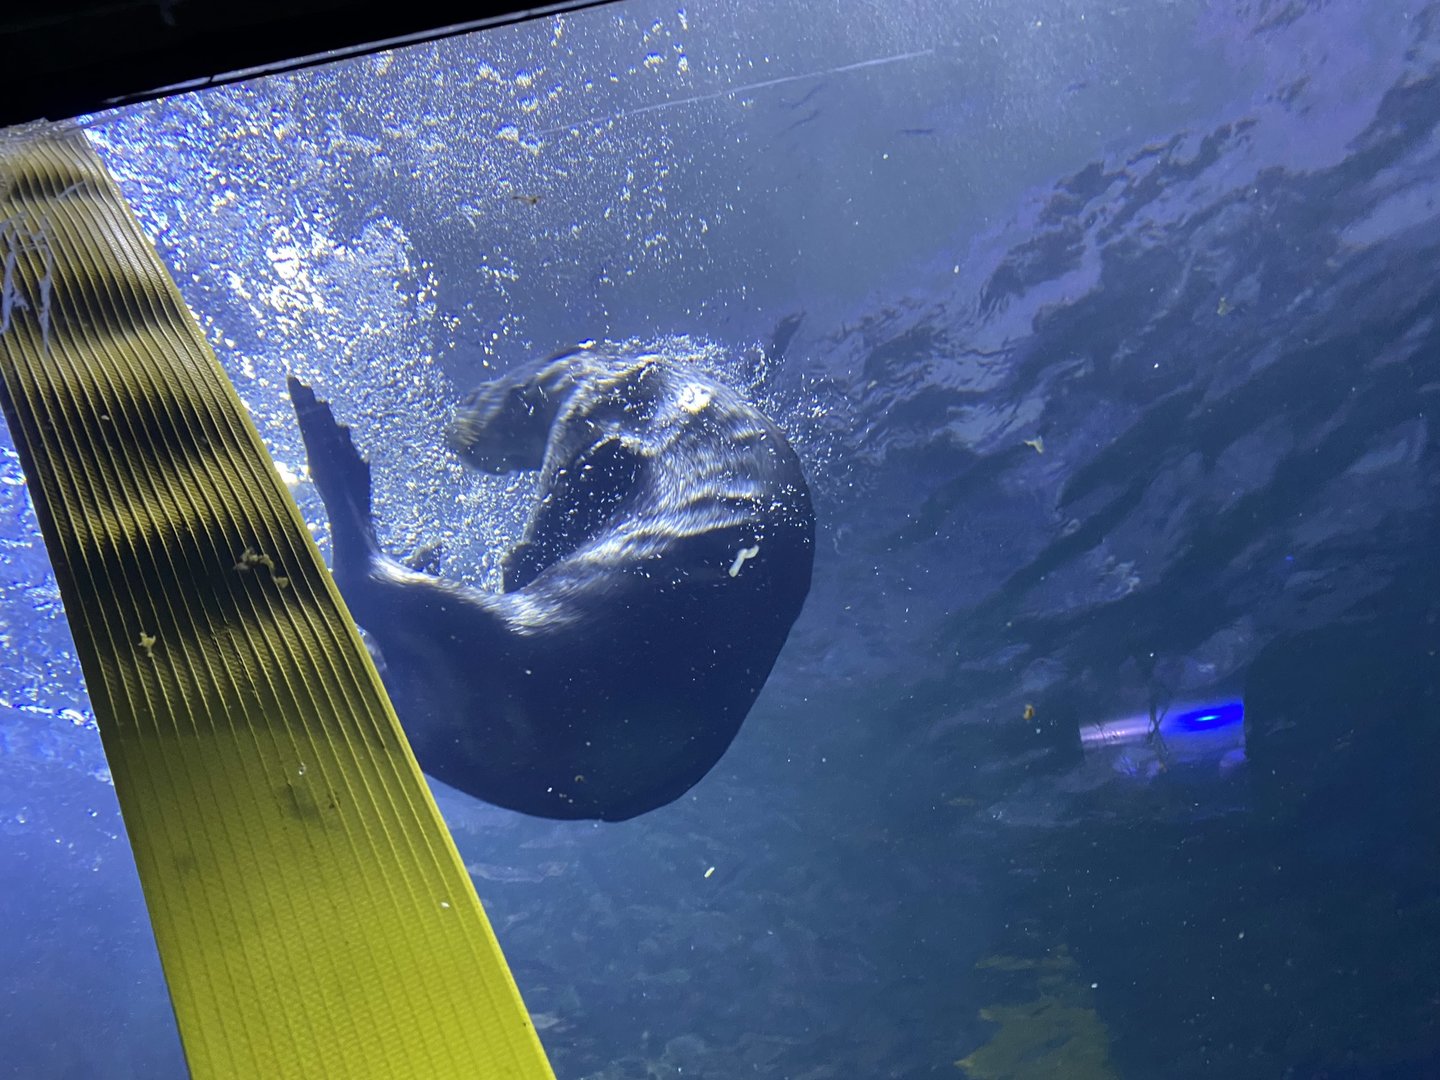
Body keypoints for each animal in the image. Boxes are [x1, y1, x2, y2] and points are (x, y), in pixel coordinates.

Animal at [287, 346, 814, 821]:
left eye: (477, 395)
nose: (454, 425)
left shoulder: (582, 414)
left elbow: (555, 498)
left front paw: (519, 554)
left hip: (506, 649)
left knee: (362, 579)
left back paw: (330, 450)